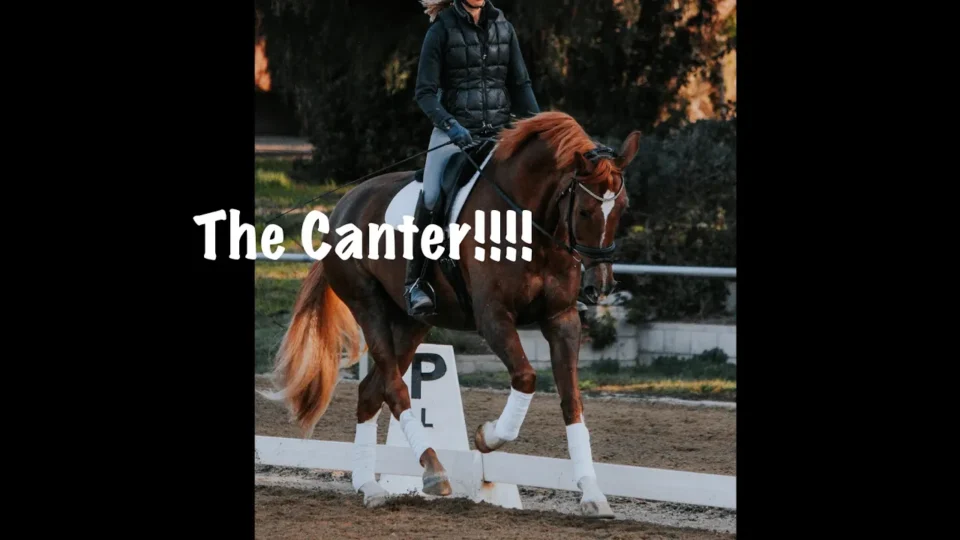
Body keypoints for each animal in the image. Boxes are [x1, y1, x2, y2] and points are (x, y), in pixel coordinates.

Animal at [268, 110, 641, 518]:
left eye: (622, 209)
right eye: (585, 211)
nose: (598, 286)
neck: (530, 223)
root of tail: (342, 205)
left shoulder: (562, 319)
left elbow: (572, 399)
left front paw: (592, 493)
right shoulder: (493, 317)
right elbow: (526, 378)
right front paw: (487, 437)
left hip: (412, 322)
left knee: (371, 391)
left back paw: (369, 485)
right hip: (368, 306)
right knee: (395, 388)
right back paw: (432, 471)